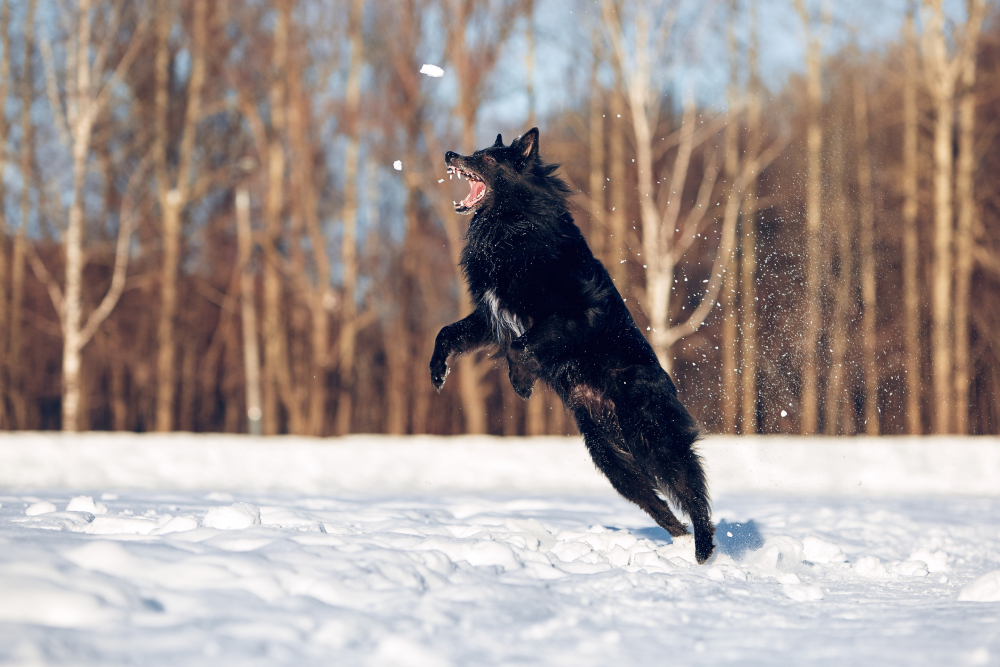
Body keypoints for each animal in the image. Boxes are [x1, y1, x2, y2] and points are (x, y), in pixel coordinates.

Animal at [434, 126, 716, 564]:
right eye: (475, 152)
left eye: (489, 159)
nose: (450, 154)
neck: (513, 226)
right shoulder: (492, 316)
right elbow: (448, 333)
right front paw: (438, 370)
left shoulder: (574, 314)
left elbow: (522, 347)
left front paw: (521, 383)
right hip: (609, 457)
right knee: (657, 502)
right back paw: (681, 540)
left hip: (653, 439)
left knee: (691, 487)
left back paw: (703, 549)